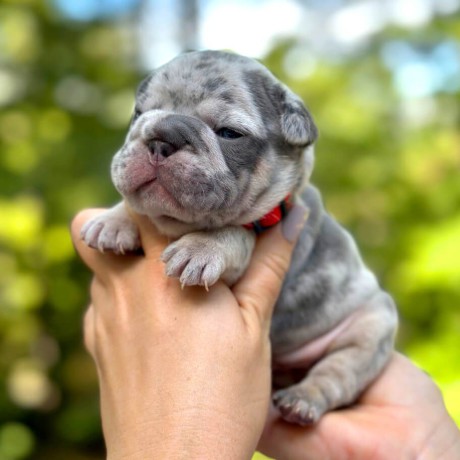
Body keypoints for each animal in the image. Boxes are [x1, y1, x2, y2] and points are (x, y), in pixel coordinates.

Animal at [82, 49, 398, 424]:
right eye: (139, 114)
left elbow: (235, 232)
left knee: (337, 372)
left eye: (230, 133)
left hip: (371, 325)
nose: (161, 137)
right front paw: (113, 220)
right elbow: (138, 207)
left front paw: (202, 247)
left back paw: (301, 400)